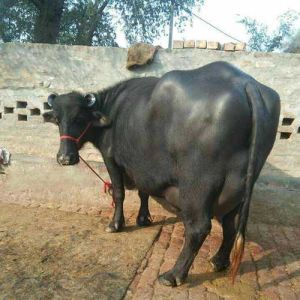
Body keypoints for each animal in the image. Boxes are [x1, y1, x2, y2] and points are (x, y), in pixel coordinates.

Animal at [43, 61, 280, 286]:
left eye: (79, 118)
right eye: (57, 119)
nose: (64, 158)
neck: (112, 111)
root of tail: (246, 83)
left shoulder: (111, 159)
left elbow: (119, 193)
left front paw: (115, 224)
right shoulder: (143, 167)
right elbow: (143, 192)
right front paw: (143, 218)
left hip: (198, 187)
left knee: (199, 228)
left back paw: (173, 275)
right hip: (238, 188)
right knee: (231, 224)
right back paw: (218, 261)